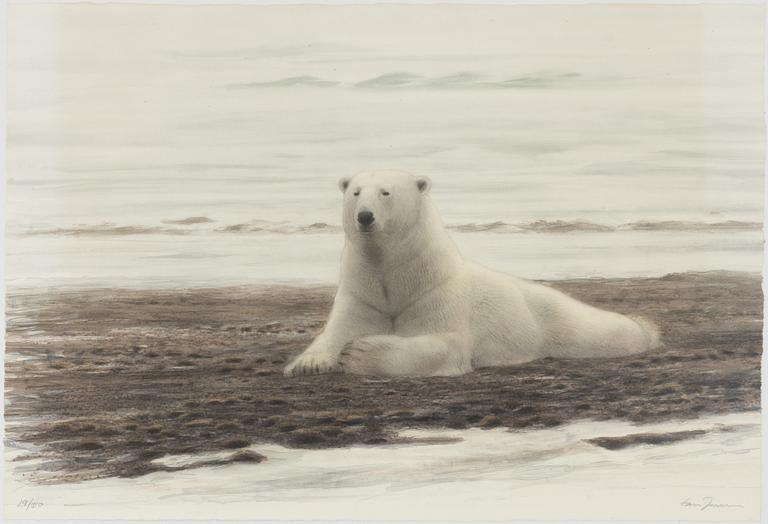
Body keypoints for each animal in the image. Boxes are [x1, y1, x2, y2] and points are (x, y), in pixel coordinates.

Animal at [284, 172, 660, 376]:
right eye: (355, 192)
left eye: (386, 192)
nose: (365, 216)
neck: (399, 278)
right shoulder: (361, 294)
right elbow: (335, 331)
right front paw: (308, 363)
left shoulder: (437, 295)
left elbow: (445, 343)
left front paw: (358, 353)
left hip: (557, 322)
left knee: (598, 330)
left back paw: (645, 330)